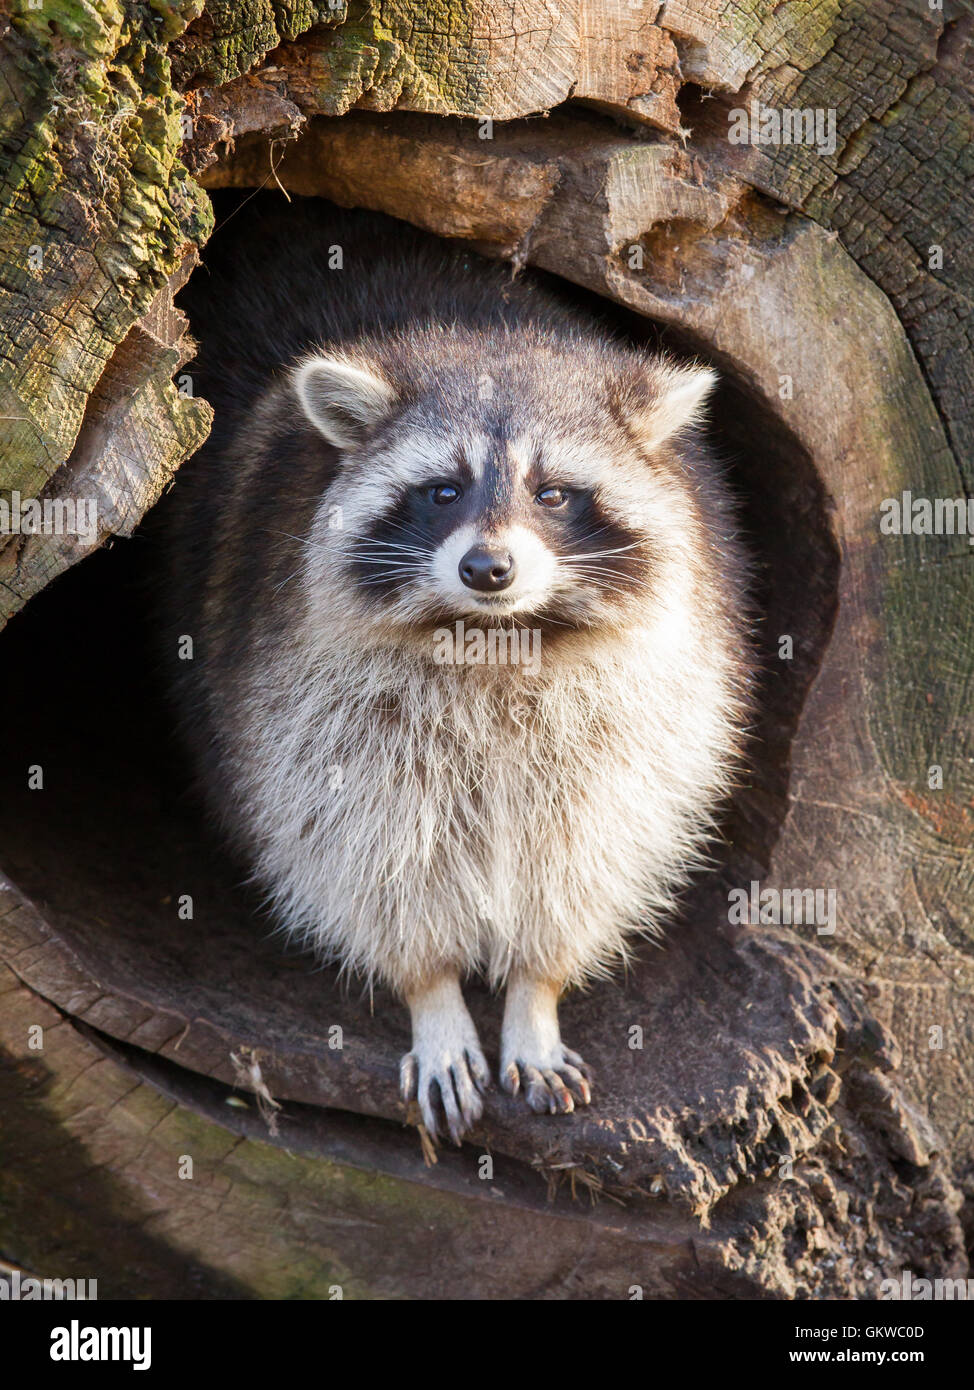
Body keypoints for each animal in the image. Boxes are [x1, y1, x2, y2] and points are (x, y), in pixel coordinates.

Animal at [159, 198, 750, 1150]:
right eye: (442, 491)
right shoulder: (297, 697)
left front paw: (537, 995)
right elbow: (351, 847)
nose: (488, 569)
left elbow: (592, 845)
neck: (494, 638)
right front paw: (431, 996)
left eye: (553, 493)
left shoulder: (651, 697)